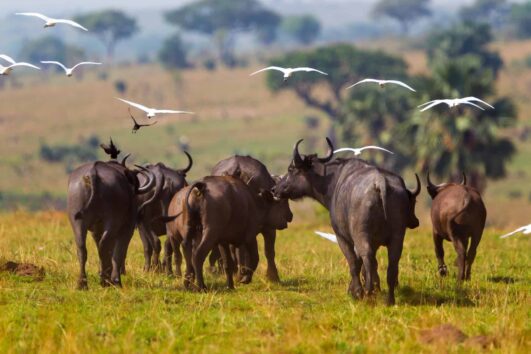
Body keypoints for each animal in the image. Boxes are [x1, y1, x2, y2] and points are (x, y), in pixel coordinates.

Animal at [274, 138, 420, 304]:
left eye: (291, 169)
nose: (275, 189)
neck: (333, 181)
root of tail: (380, 182)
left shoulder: (342, 237)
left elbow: (354, 262)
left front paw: (355, 291)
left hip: (361, 236)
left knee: (366, 257)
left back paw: (368, 292)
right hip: (397, 238)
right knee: (391, 264)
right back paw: (389, 299)